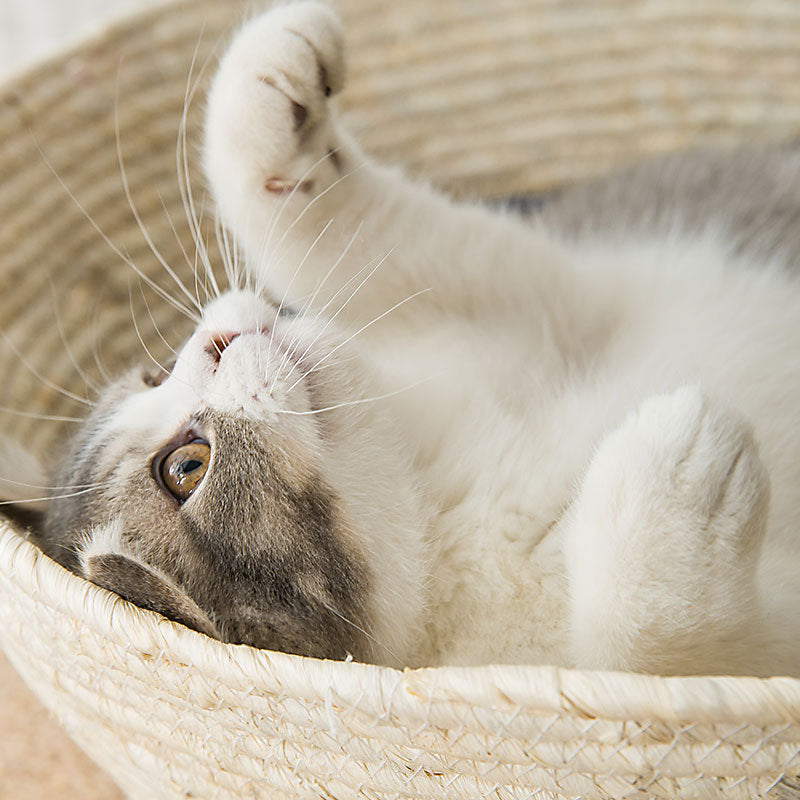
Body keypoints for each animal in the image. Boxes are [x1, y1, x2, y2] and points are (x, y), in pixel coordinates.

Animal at [15, 0, 800, 676]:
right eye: (186, 467)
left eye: (155, 371)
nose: (217, 339)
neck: (441, 496)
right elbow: (663, 664)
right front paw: (674, 491)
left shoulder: (550, 300)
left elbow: (362, 240)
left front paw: (268, 101)